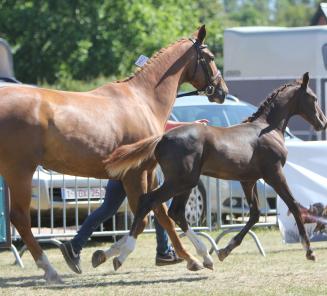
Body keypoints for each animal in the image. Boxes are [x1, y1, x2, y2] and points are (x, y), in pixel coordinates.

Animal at [0, 24, 228, 282]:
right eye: (210, 57)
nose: (222, 91)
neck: (144, 100)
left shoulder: (147, 173)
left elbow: (161, 216)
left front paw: (192, 258)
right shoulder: (134, 174)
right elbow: (146, 217)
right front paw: (114, 255)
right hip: (20, 171)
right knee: (20, 217)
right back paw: (50, 270)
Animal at [104, 72, 327, 268]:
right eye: (313, 98)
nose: (322, 122)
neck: (266, 129)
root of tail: (162, 138)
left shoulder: (248, 180)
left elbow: (255, 214)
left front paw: (224, 250)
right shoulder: (274, 173)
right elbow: (294, 206)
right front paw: (309, 250)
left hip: (185, 183)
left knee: (175, 212)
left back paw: (204, 257)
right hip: (182, 181)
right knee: (149, 202)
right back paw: (121, 256)